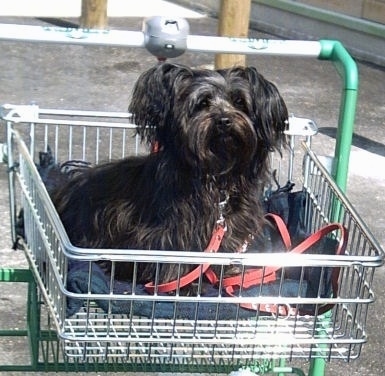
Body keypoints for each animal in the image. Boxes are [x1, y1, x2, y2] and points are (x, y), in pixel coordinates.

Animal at [51, 63, 286, 290]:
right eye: (202, 103)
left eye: (239, 102)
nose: (224, 120)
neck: (216, 176)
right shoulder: (171, 230)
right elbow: (174, 253)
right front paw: (179, 284)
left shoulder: (232, 225)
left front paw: (230, 273)